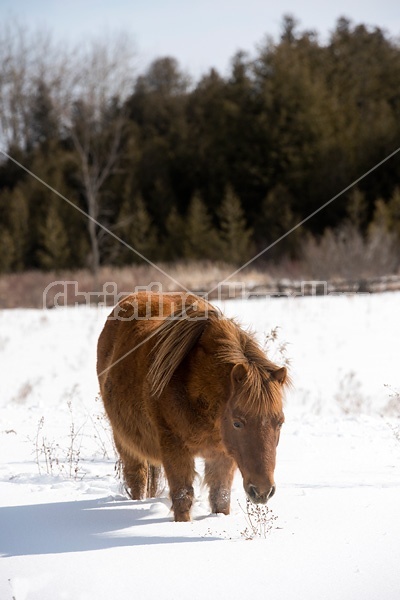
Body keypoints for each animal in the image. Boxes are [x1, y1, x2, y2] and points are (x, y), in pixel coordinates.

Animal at [98, 290, 290, 520]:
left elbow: (220, 497)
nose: (262, 491)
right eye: (237, 423)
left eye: (280, 422)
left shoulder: (222, 455)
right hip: (125, 442)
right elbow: (182, 496)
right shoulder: (174, 447)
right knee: (137, 478)